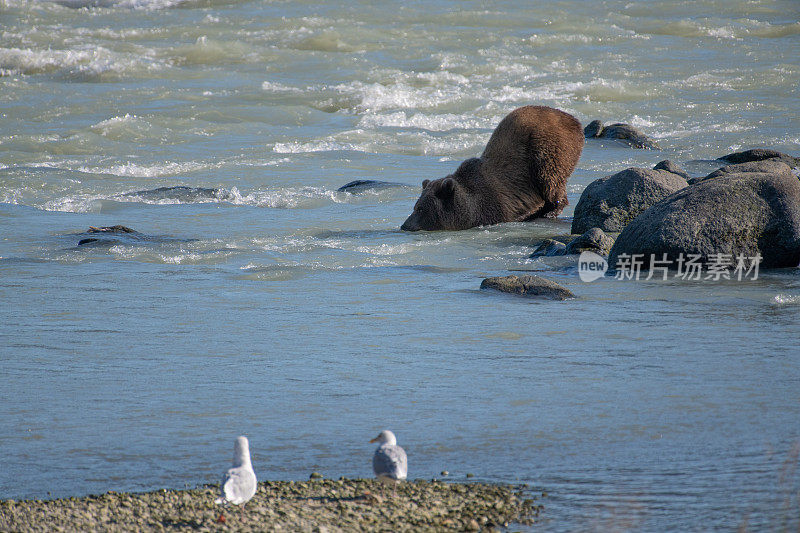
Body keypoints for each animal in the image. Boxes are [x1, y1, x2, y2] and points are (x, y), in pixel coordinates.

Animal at [400, 106, 580, 231]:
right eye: (415, 206)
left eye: (421, 208)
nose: (405, 225)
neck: (471, 209)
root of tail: (573, 119)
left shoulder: (495, 204)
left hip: (548, 148)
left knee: (550, 179)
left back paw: (546, 211)